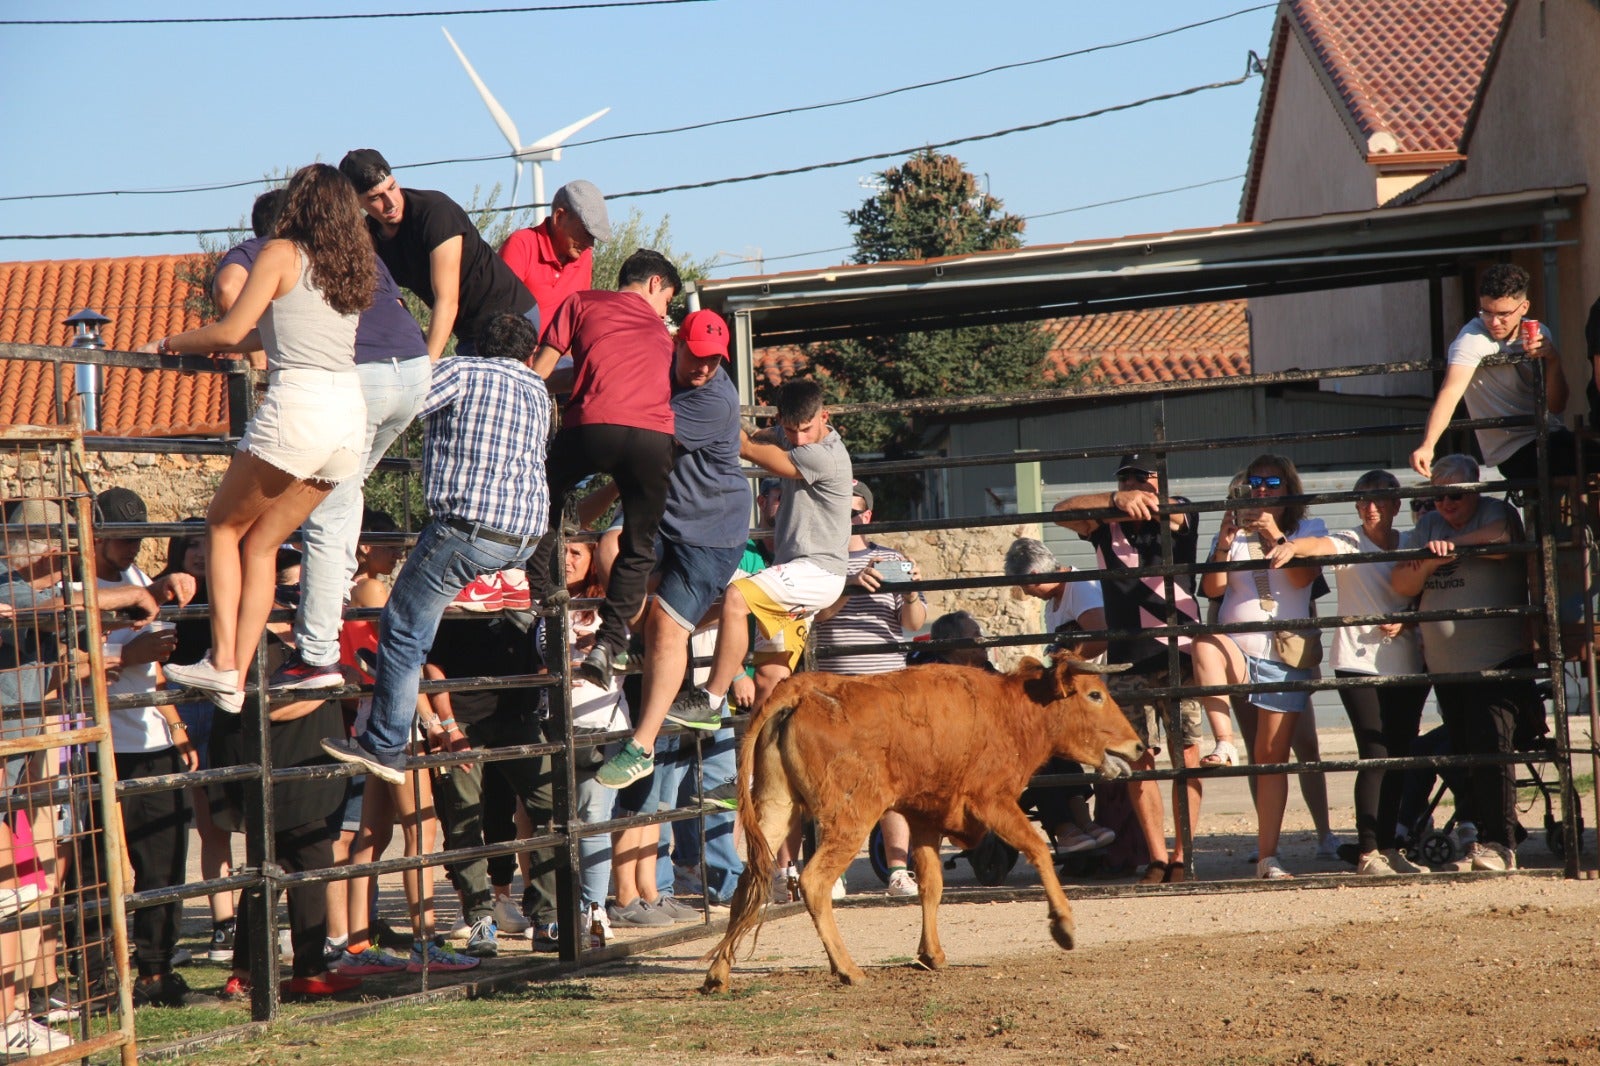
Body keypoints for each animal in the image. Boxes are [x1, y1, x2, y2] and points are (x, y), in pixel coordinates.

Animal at [700, 653, 1139, 992]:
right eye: (1095, 694)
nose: (1137, 746)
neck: (1008, 712)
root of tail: (801, 691)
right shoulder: (992, 800)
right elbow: (1036, 849)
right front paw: (1063, 925)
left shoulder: (927, 817)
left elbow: (931, 884)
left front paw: (932, 953)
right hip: (850, 818)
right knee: (813, 882)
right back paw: (847, 969)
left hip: (777, 805)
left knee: (749, 883)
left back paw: (718, 974)